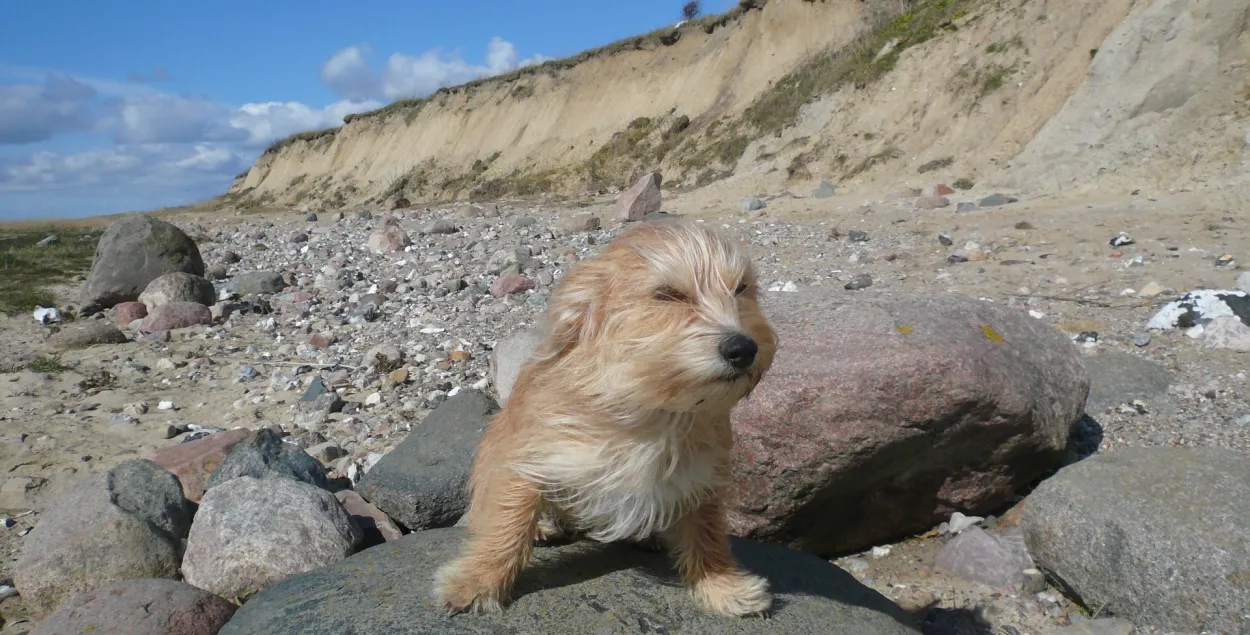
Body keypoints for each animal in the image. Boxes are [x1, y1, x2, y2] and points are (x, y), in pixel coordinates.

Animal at [435, 220, 775, 620]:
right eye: (668, 295)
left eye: (741, 289)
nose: (743, 348)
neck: (648, 406)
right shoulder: (528, 457)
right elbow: (508, 522)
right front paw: (478, 580)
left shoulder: (702, 475)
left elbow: (706, 531)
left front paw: (721, 584)